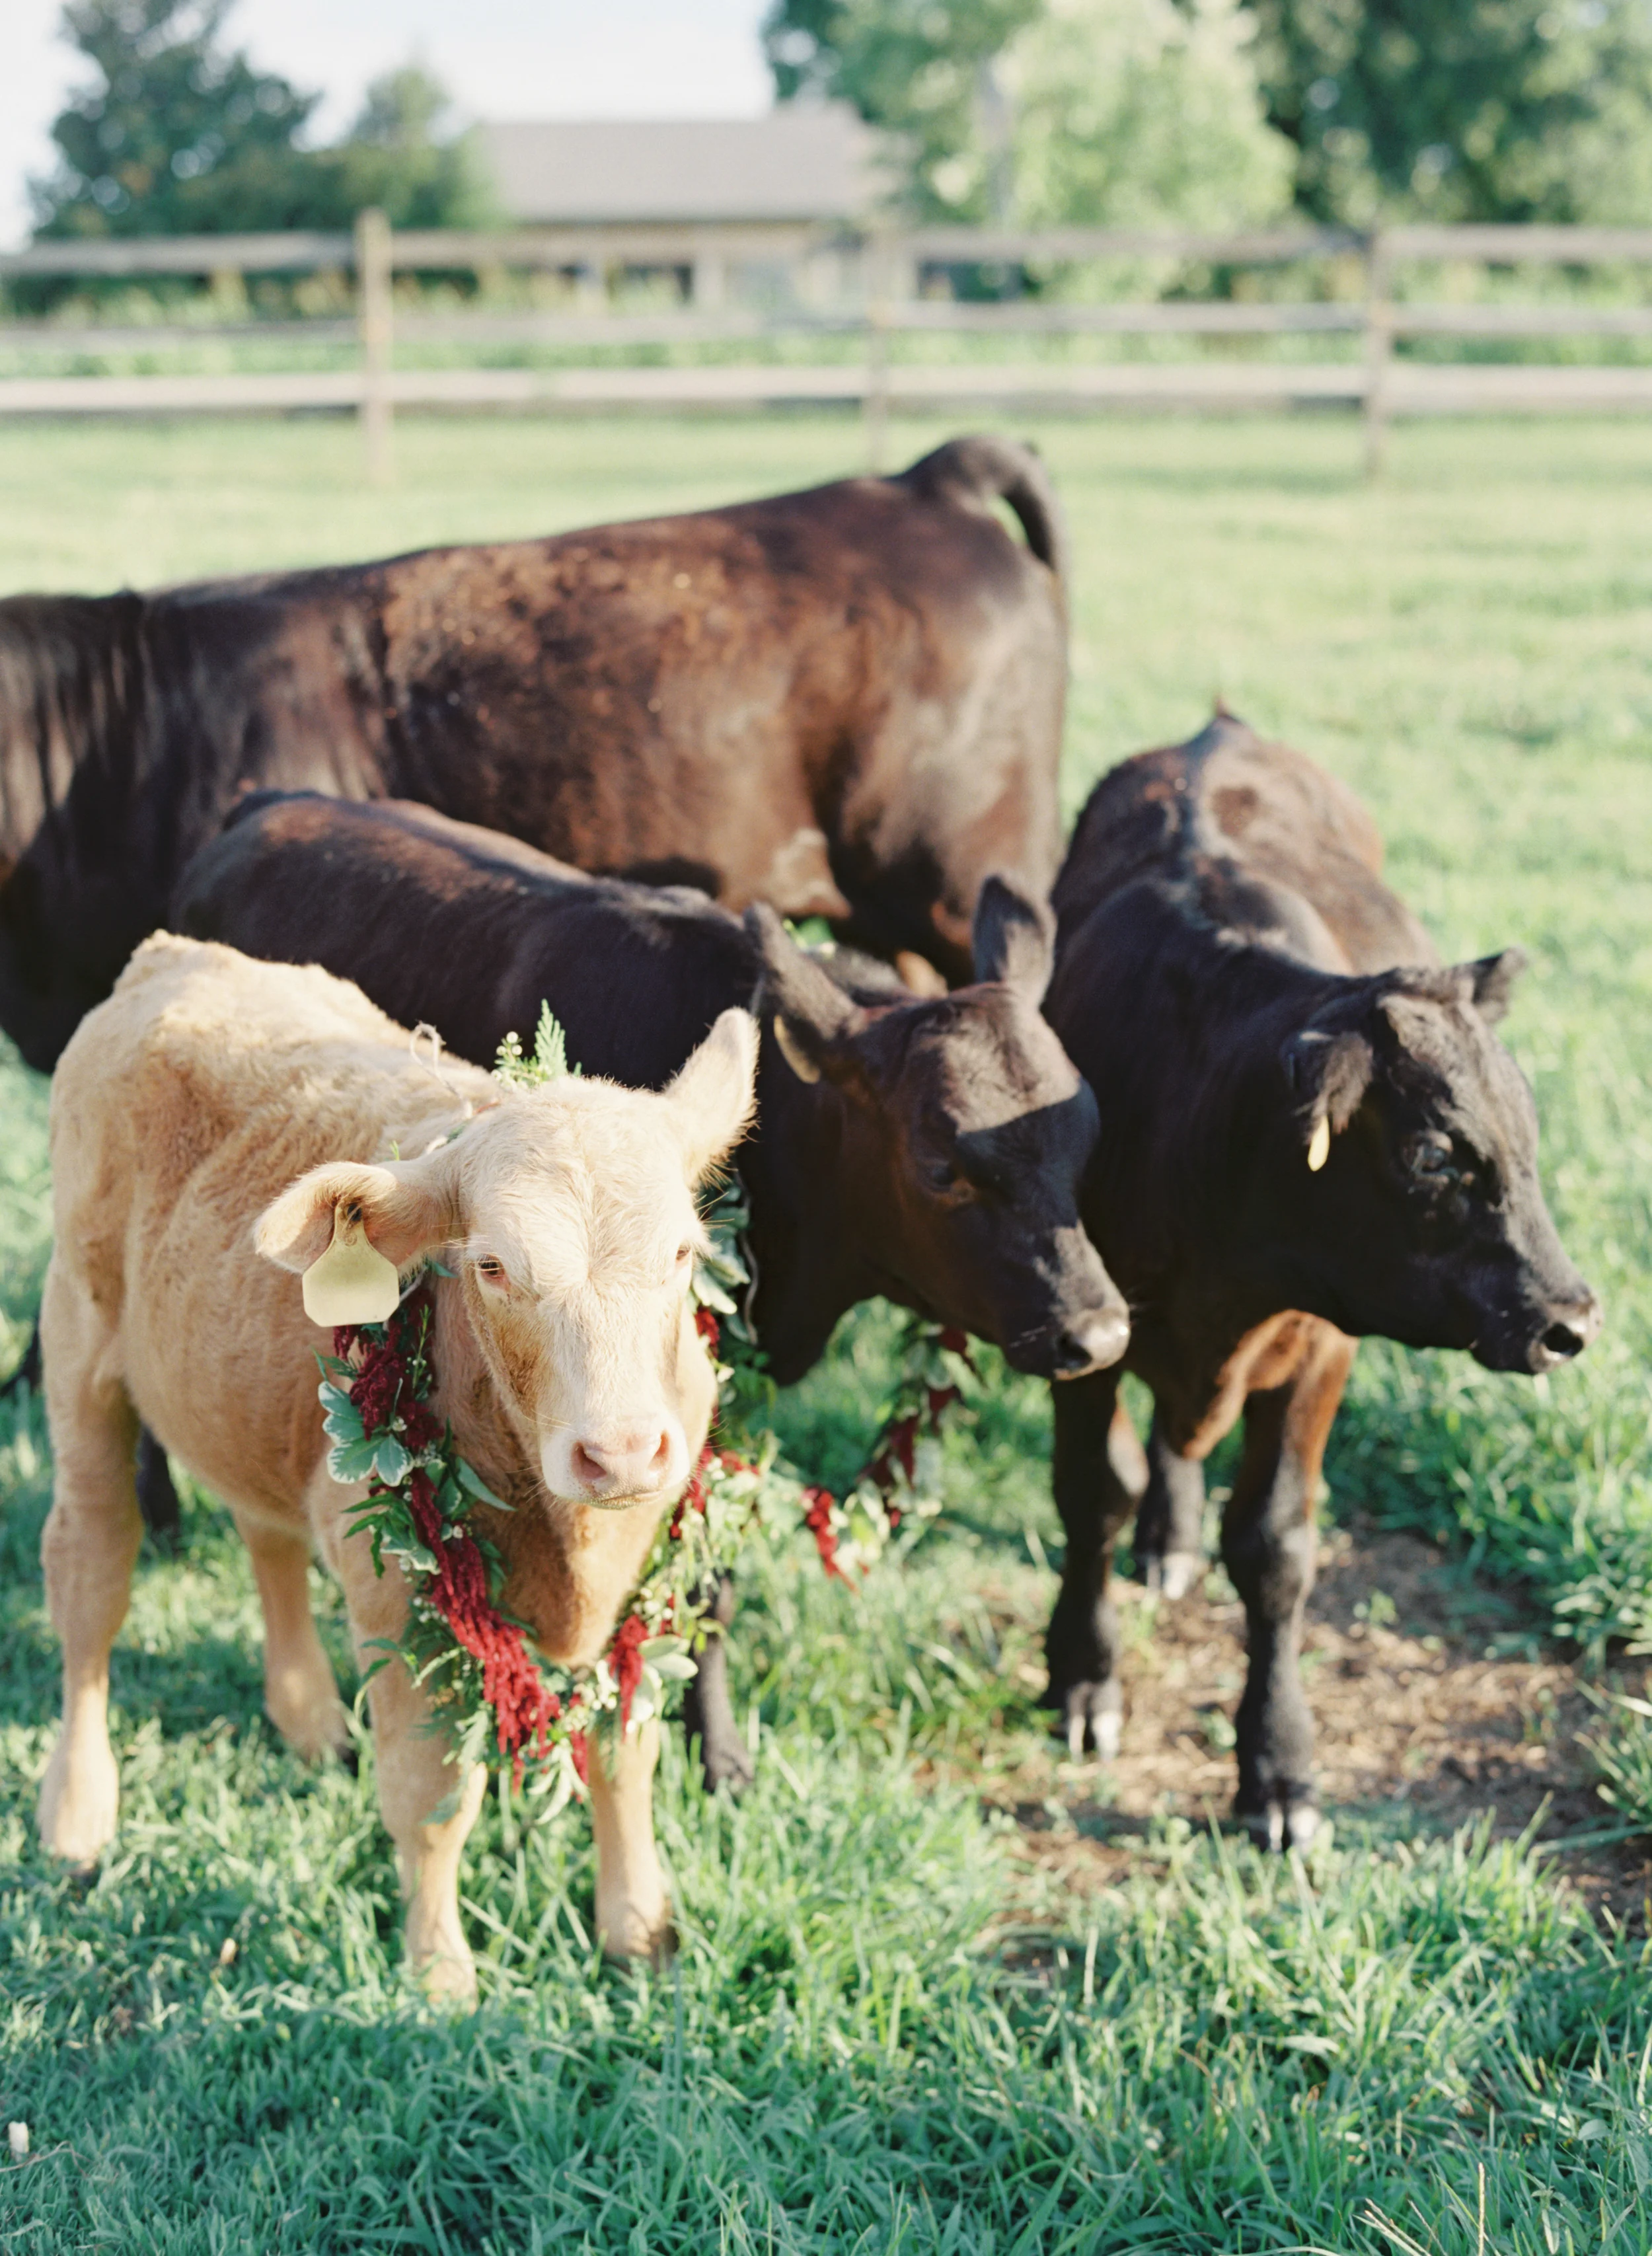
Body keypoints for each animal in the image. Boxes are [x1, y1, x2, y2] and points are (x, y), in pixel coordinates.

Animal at [37, 933, 759, 1999]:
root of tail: (176, 957)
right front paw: (438, 1972)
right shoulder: (397, 1598)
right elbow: (430, 1799)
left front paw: (639, 1928)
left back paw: (306, 1717)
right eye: (492, 1265)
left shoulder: (648, 1566)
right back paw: (77, 1810)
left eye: (682, 1252)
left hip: (261, 1404)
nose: (621, 1449)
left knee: (265, 1531)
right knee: (92, 1572)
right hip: (80, 1352)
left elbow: (627, 1754)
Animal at [1040, 711, 1601, 1849]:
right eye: (1434, 1155)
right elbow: (1094, 1493)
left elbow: (1276, 1548)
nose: (1569, 1318)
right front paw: (1084, 1676)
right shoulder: (1081, 1333)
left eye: (1528, 1131)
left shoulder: (1320, 1349)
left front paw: (1279, 1768)